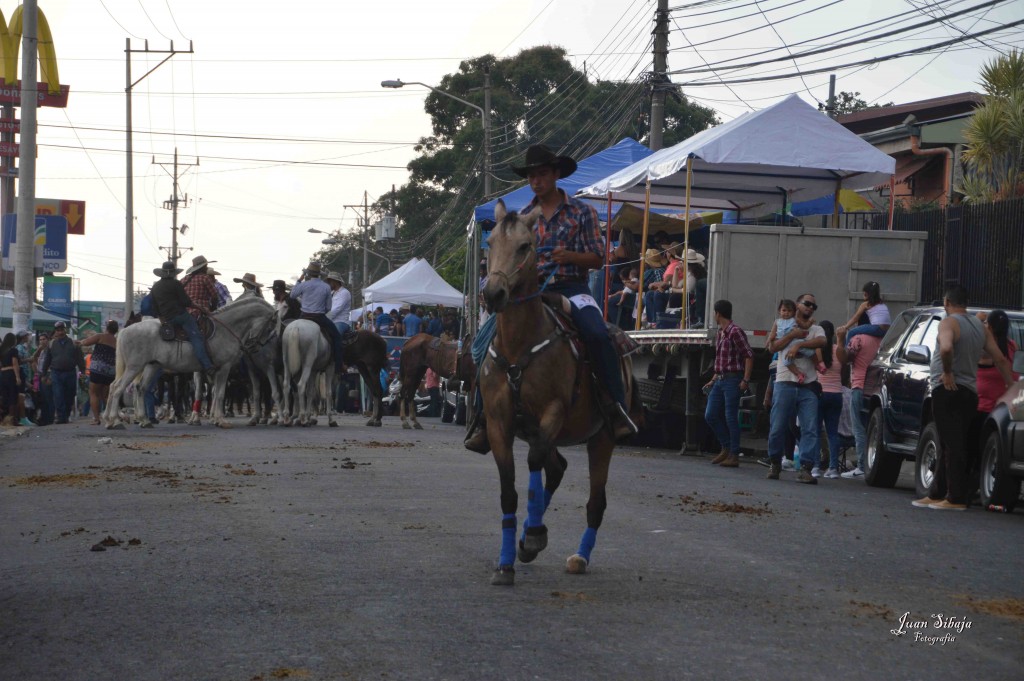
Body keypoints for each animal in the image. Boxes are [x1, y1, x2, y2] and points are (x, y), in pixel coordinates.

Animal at [102, 294, 276, 428]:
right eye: (270, 327)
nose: (254, 347)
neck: (226, 329)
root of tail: (124, 331)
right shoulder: (223, 368)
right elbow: (219, 394)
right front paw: (220, 420)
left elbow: (214, 395)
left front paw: (213, 419)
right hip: (134, 367)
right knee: (117, 388)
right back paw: (115, 421)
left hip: (151, 366)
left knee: (139, 389)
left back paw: (141, 420)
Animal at [477, 197, 634, 585]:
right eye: (491, 243)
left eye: (524, 246)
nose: (493, 293)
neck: (521, 344)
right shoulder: (499, 423)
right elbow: (508, 491)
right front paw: (506, 561)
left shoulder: (553, 411)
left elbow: (533, 464)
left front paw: (534, 535)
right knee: (558, 467)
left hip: (601, 437)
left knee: (595, 502)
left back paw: (579, 556)